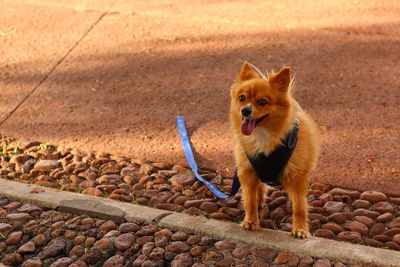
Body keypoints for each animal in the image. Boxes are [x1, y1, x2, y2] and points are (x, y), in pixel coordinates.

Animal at [230, 62, 320, 239]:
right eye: (242, 98)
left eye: (262, 102)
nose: (245, 110)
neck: (263, 135)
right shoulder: (247, 171)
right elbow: (249, 200)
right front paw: (250, 221)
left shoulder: (297, 177)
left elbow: (299, 207)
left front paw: (300, 229)